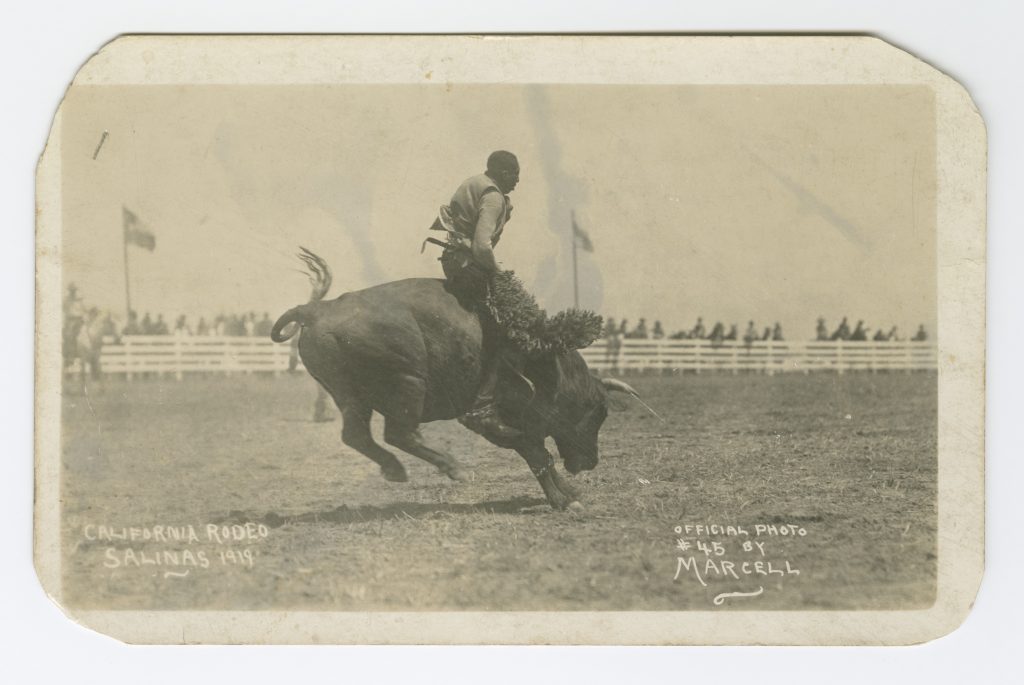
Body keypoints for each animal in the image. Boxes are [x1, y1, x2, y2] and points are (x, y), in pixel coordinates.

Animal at [272, 248, 638, 509]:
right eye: (598, 411)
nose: (591, 461)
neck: (540, 359)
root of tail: (316, 309)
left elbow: (536, 451)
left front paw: (569, 492)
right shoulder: (494, 418)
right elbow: (535, 451)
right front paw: (565, 499)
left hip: (348, 395)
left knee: (357, 436)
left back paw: (396, 469)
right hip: (408, 382)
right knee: (399, 433)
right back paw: (454, 467)